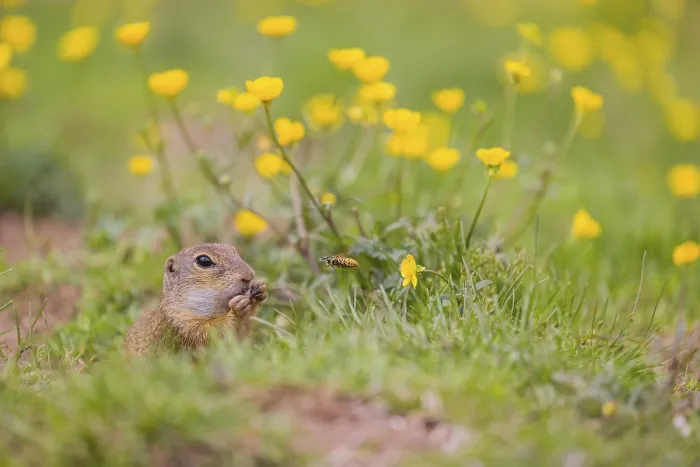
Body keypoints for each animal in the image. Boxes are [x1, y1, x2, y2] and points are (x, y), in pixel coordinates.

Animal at [123, 243, 267, 358]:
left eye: (234, 251)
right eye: (203, 261)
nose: (249, 275)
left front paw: (259, 290)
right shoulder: (183, 327)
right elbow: (213, 335)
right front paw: (237, 308)